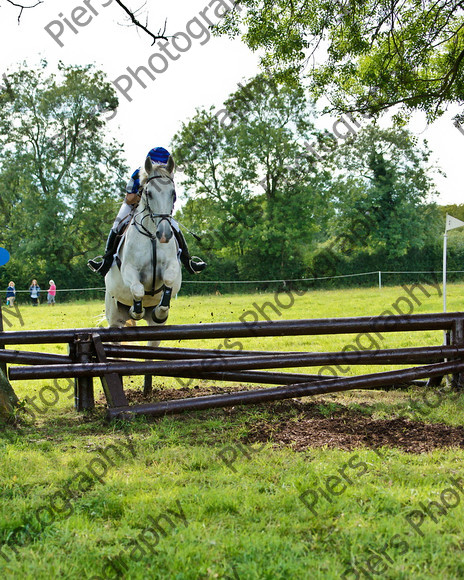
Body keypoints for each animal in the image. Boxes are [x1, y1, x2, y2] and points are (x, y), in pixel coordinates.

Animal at [104, 154, 181, 394]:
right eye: (148, 193)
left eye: (173, 193)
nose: (164, 234)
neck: (152, 235)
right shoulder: (130, 270)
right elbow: (138, 288)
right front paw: (135, 311)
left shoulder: (172, 267)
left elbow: (168, 281)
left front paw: (161, 310)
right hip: (114, 318)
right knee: (115, 346)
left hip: (156, 330)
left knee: (151, 351)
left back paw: (147, 387)